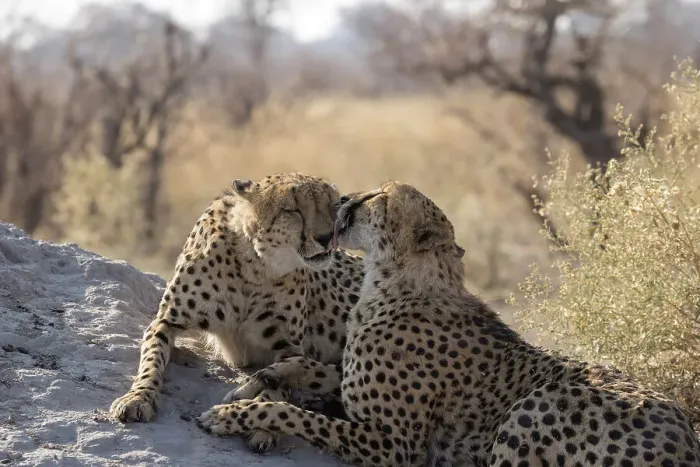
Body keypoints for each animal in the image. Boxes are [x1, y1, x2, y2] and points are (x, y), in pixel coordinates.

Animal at [110, 172, 363, 452]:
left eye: (333, 206)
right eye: (292, 210)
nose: (327, 237)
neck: (255, 263)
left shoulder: (289, 348)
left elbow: (282, 384)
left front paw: (262, 425)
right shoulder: (166, 321)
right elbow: (151, 360)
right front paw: (137, 397)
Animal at [196, 180, 700, 467]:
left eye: (380, 196)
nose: (344, 200)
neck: (398, 283)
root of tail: (684, 437)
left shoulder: (393, 445)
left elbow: (295, 414)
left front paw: (233, 415)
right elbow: (309, 365)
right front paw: (257, 381)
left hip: (530, 410)